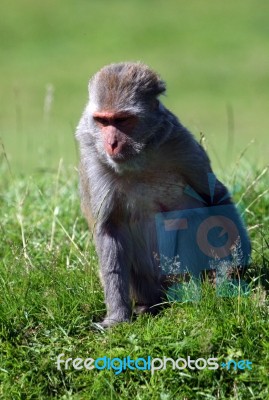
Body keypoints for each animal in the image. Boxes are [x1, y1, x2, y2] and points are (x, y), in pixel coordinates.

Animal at [75, 61, 249, 324]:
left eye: (122, 120)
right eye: (103, 121)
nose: (111, 144)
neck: (140, 158)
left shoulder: (180, 144)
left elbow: (214, 197)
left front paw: (234, 269)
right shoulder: (94, 158)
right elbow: (109, 228)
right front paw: (117, 316)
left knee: (194, 217)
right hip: (146, 284)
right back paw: (148, 306)